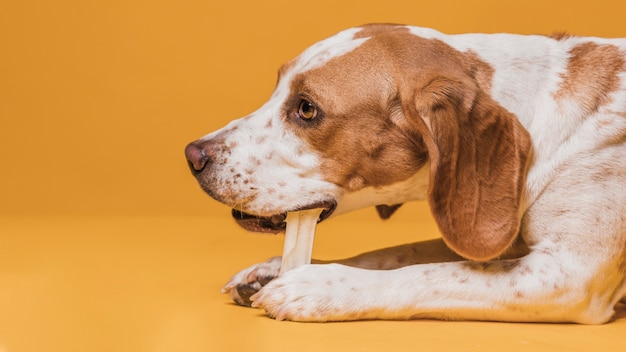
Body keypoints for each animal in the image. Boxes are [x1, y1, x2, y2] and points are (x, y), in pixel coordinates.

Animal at [185, 23, 624, 324]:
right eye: (276, 89)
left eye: (307, 109)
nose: (192, 156)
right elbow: (396, 253)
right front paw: (276, 269)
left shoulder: (567, 273)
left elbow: (430, 275)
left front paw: (315, 285)